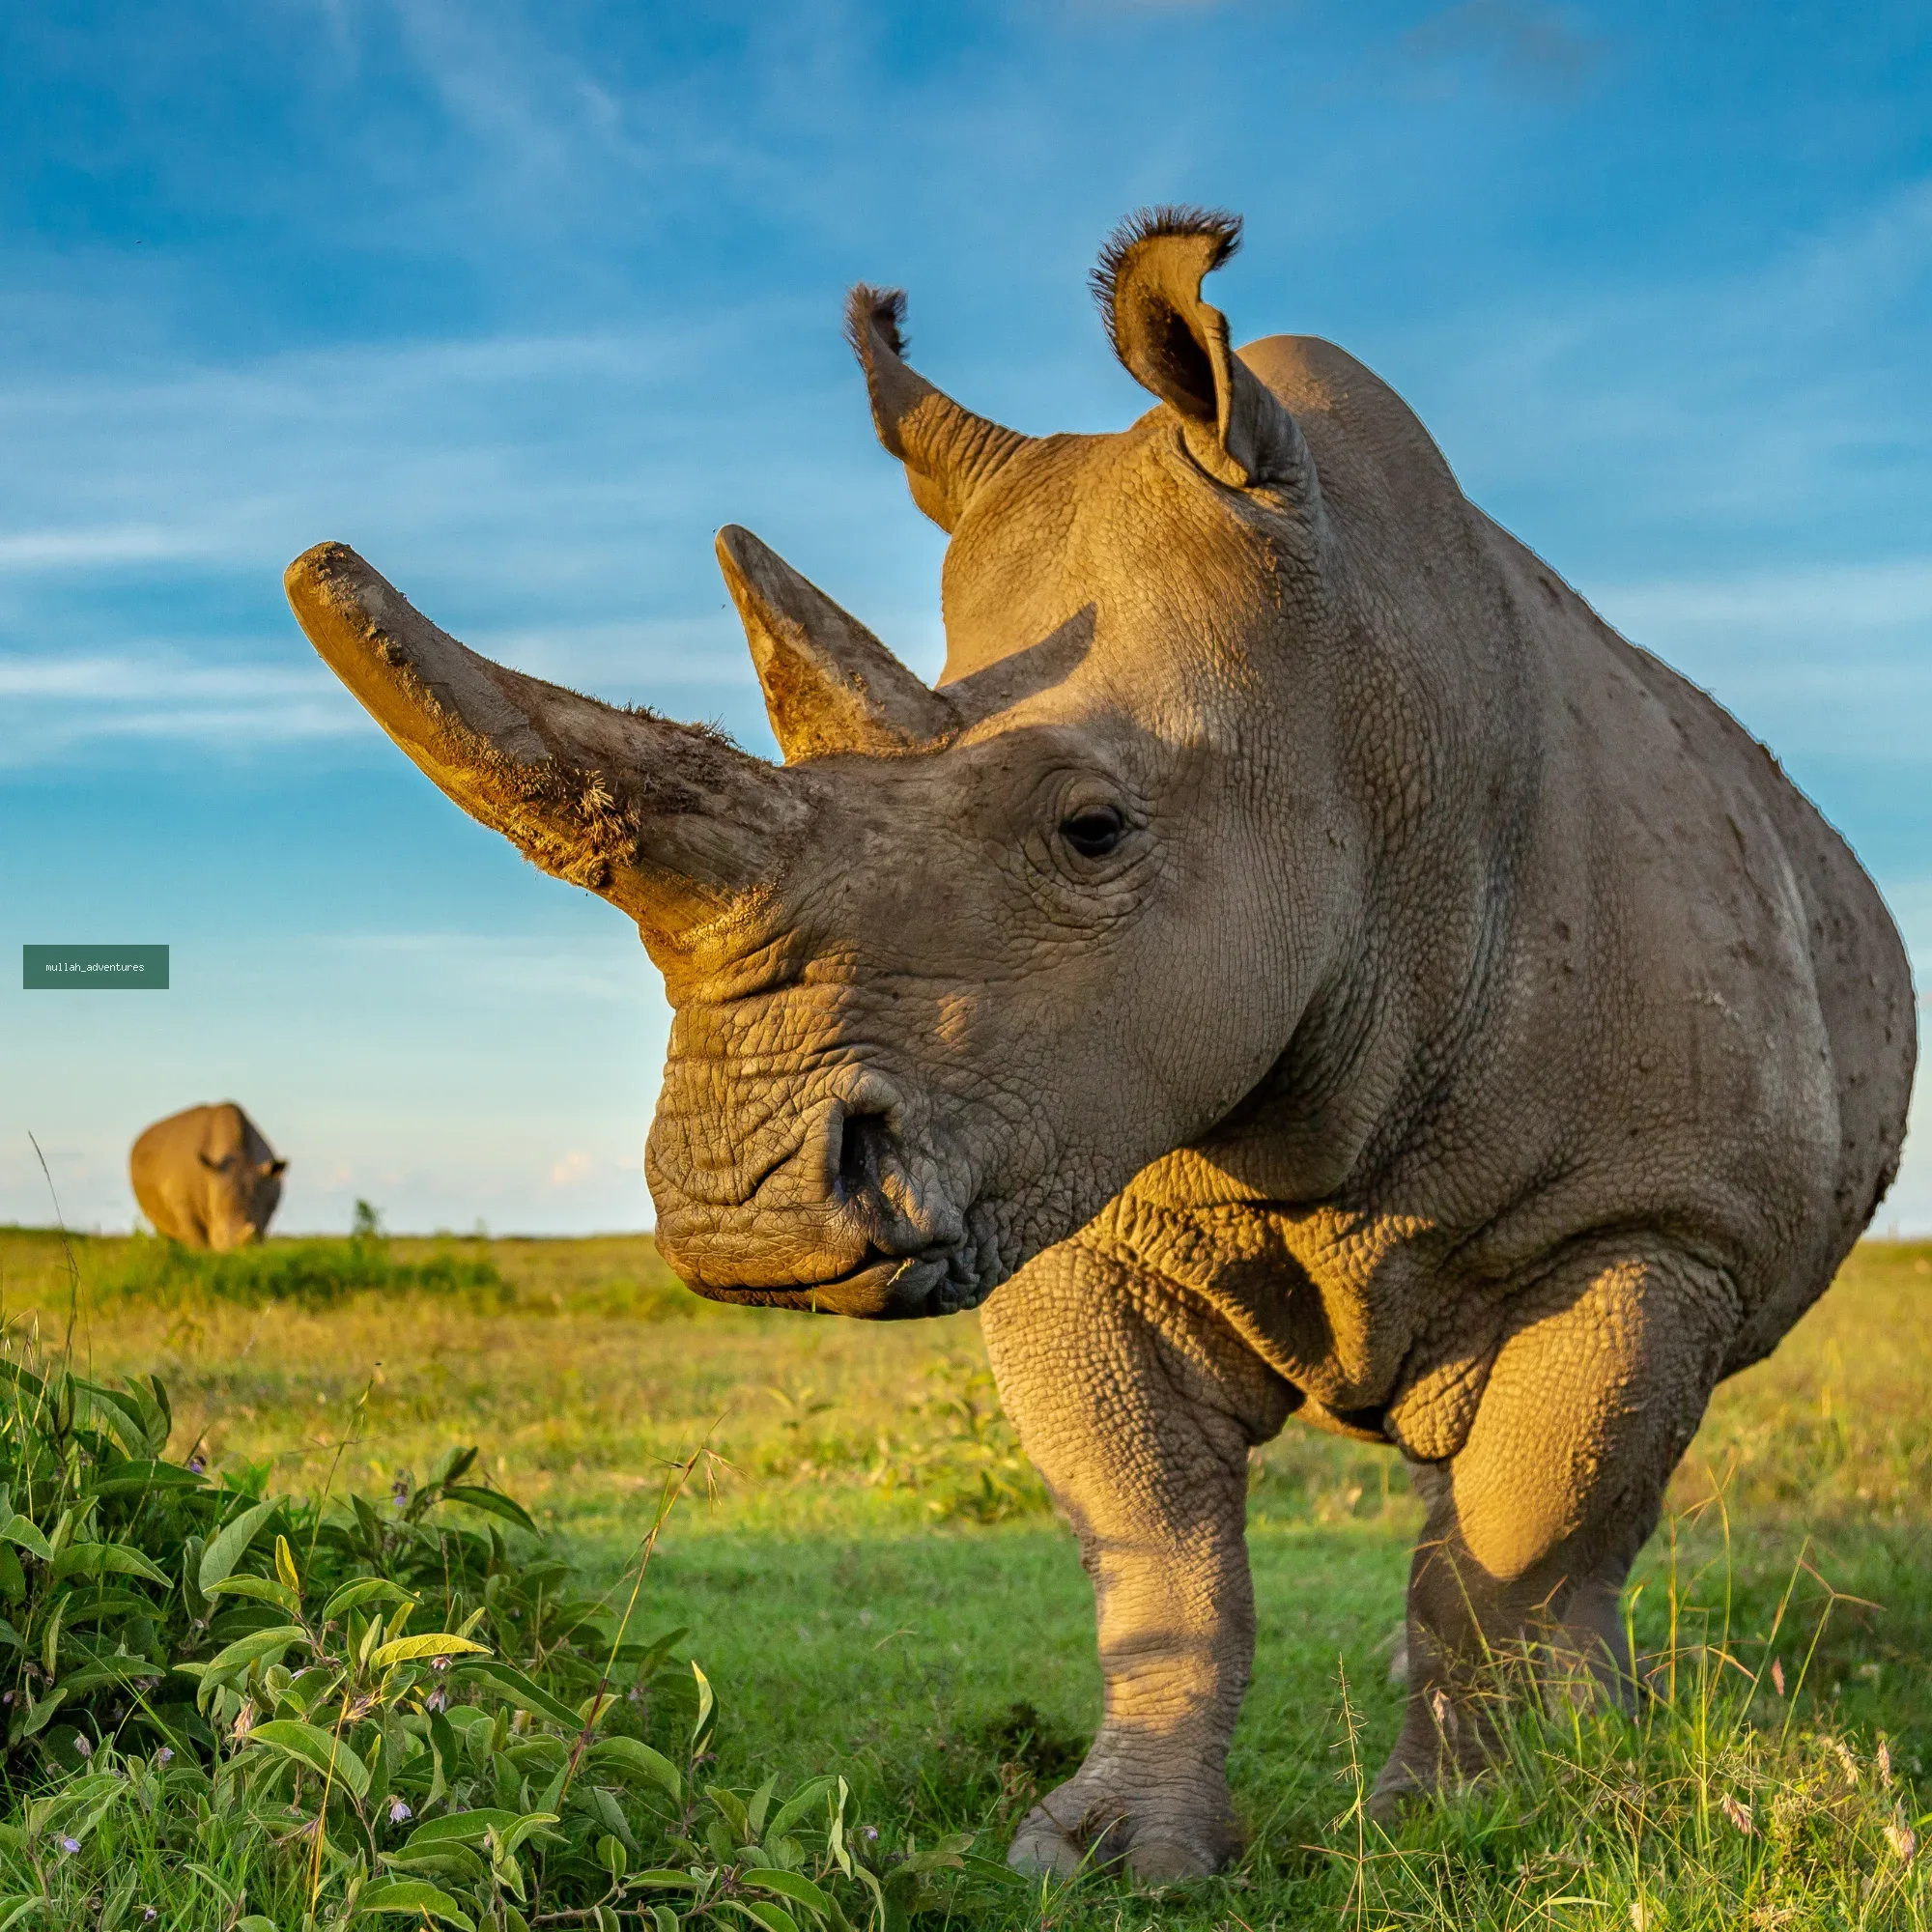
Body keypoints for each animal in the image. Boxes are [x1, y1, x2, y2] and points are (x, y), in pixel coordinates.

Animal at [286, 207, 1915, 1879]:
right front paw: (1105, 1855)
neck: (1362, 711)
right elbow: (1157, 1542)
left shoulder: (1654, 1216)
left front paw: (1474, 1822)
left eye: (1093, 829)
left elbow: (1531, 1525)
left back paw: (1589, 1738)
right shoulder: (1064, 1154)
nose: (748, 1224)